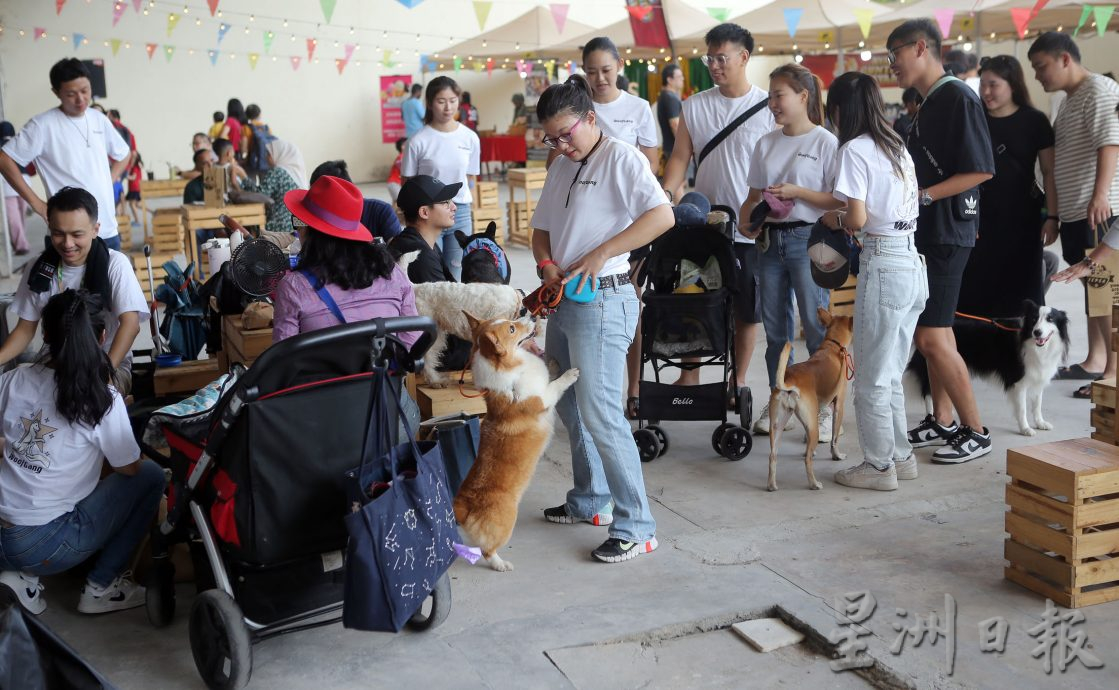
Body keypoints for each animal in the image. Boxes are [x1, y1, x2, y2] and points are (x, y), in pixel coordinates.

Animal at [452, 313, 577, 570]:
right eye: (511, 329)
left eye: (508, 319)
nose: (531, 315)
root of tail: (462, 506)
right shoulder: (542, 399)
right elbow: (555, 385)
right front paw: (570, 374)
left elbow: (549, 373)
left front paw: (553, 364)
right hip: (507, 520)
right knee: (488, 550)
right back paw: (501, 564)